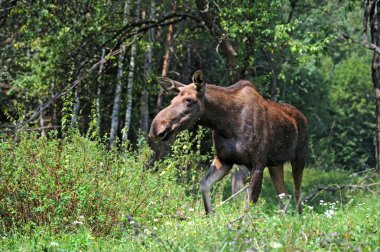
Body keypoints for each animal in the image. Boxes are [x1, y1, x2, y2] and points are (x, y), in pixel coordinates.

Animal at [149, 71, 308, 215]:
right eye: (172, 100)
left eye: (189, 100)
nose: (156, 128)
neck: (225, 125)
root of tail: (304, 118)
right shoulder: (224, 160)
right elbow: (204, 185)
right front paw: (211, 218)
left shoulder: (257, 164)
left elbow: (247, 206)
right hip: (275, 165)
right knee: (283, 198)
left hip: (299, 159)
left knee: (297, 192)